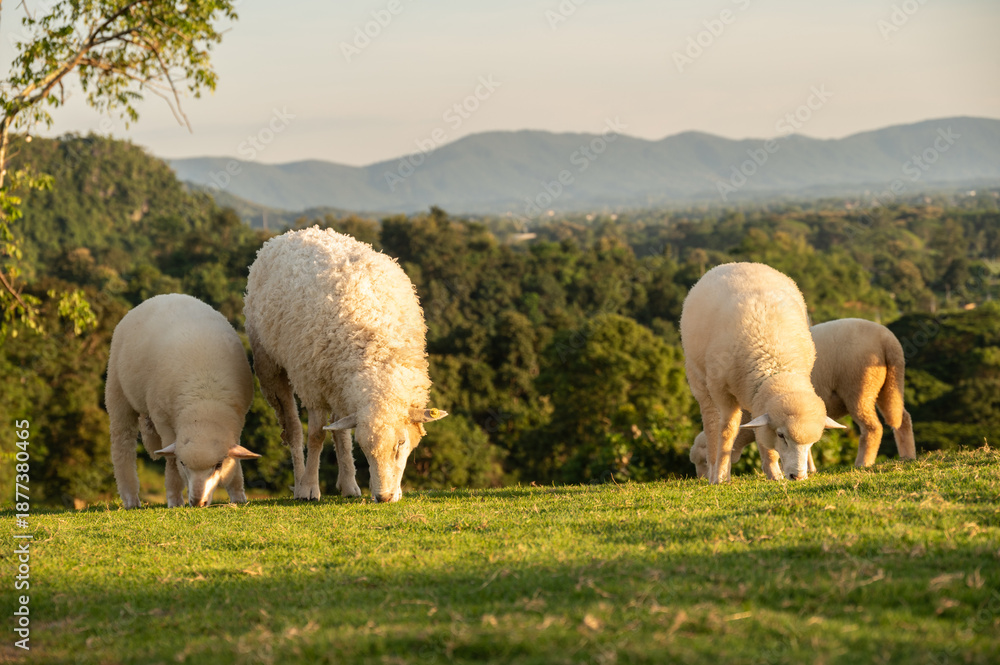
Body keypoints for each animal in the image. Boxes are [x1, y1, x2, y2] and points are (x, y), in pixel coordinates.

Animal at [106, 294, 260, 508]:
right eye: (183, 464)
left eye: (218, 465)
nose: (197, 502)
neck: (204, 404)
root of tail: (162, 296)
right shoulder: (163, 419)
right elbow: (171, 462)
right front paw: (174, 499)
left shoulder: (238, 421)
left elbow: (235, 461)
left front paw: (238, 495)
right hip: (117, 390)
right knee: (122, 445)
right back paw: (131, 499)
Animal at [243, 226, 448, 504]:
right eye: (366, 449)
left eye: (401, 444)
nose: (384, 497)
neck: (377, 357)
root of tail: (297, 232)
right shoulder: (312, 385)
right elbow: (316, 435)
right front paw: (309, 488)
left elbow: (338, 432)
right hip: (271, 365)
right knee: (294, 430)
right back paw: (300, 481)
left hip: (337, 381)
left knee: (339, 428)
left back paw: (349, 484)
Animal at [679, 262, 844, 484]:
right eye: (781, 435)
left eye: (812, 443)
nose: (797, 476)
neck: (775, 365)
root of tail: (737, 263)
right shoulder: (721, 390)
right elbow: (728, 430)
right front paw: (721, 475)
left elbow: (760, 432)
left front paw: (773, 472)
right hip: (699, 378)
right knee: (712, 422)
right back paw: (715, 469)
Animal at [689, 318, 916, 478]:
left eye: (705, 462)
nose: (701, 479)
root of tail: (887, 340)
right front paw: (809, 468)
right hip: (888, 384)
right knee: (902, 418)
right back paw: (908, 457)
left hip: (859, 386)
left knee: (872, 428)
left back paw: (863, 463)